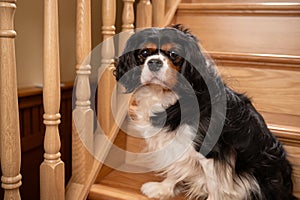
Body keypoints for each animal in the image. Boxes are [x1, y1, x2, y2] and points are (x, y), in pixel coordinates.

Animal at [115, 25, 296, 200]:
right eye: (144, 53)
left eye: (174, 54)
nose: (154, 62)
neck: (167, 96)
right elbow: (176, 169)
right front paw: (164, 188)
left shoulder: (210, 153)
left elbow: (213, 185)